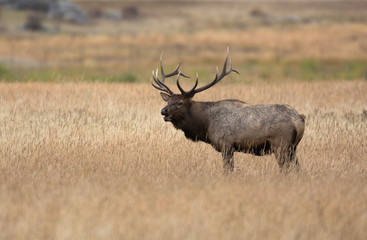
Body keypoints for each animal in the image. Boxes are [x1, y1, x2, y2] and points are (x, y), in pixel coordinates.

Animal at [151, 48, 306, 172]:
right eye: (168, 101)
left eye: (180, 102)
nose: (163, 111)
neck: (205, 125)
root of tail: (299, 119)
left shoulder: (227, 145)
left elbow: (228, 171)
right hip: (293, 147)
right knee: (297, 168)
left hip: (280, 145)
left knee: (285, 168)